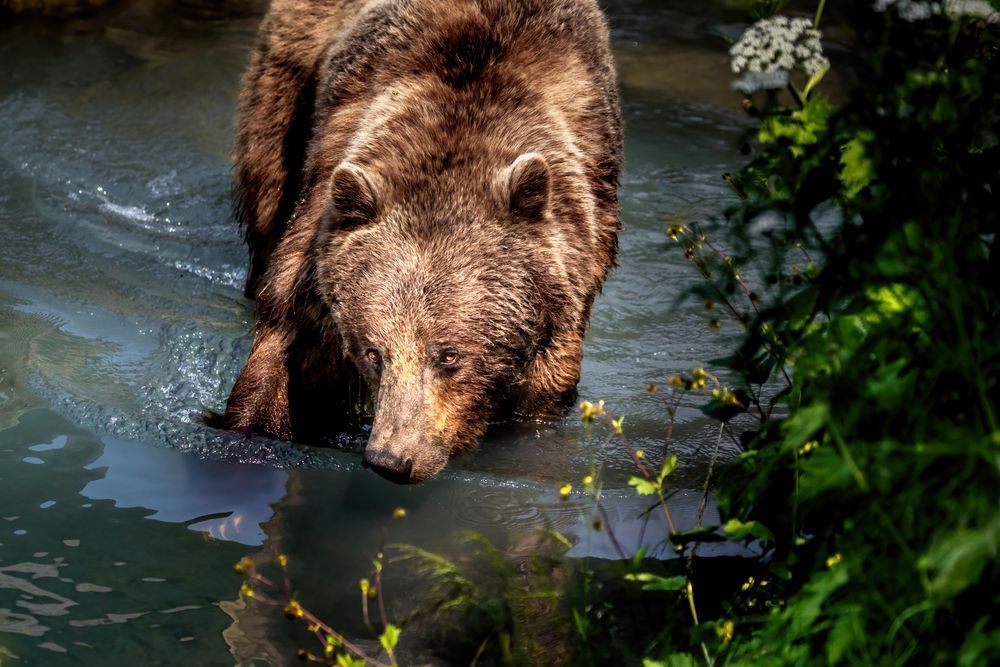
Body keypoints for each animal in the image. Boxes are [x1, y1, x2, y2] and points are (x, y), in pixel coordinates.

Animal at [222, 0, 622, 483]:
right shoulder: (320, 231)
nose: (391, 459)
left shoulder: (572, 270)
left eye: (449, 355)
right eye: (373, 352)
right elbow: (284, 350)